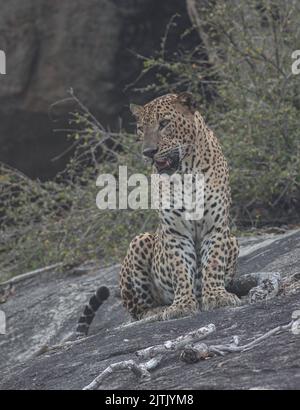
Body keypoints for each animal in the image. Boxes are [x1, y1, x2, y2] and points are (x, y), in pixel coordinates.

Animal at [76, 93, 240, 336]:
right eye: (141, 128)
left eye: (164, 124)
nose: (148, 152)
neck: (187, 172)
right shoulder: (175, 233)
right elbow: (181, 269)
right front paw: (181, 305)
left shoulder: (216, 227)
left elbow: (213, 263)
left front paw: (217, 296)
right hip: (140, 241)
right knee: (137, 310)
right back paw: (159, 310)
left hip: (233, 239)